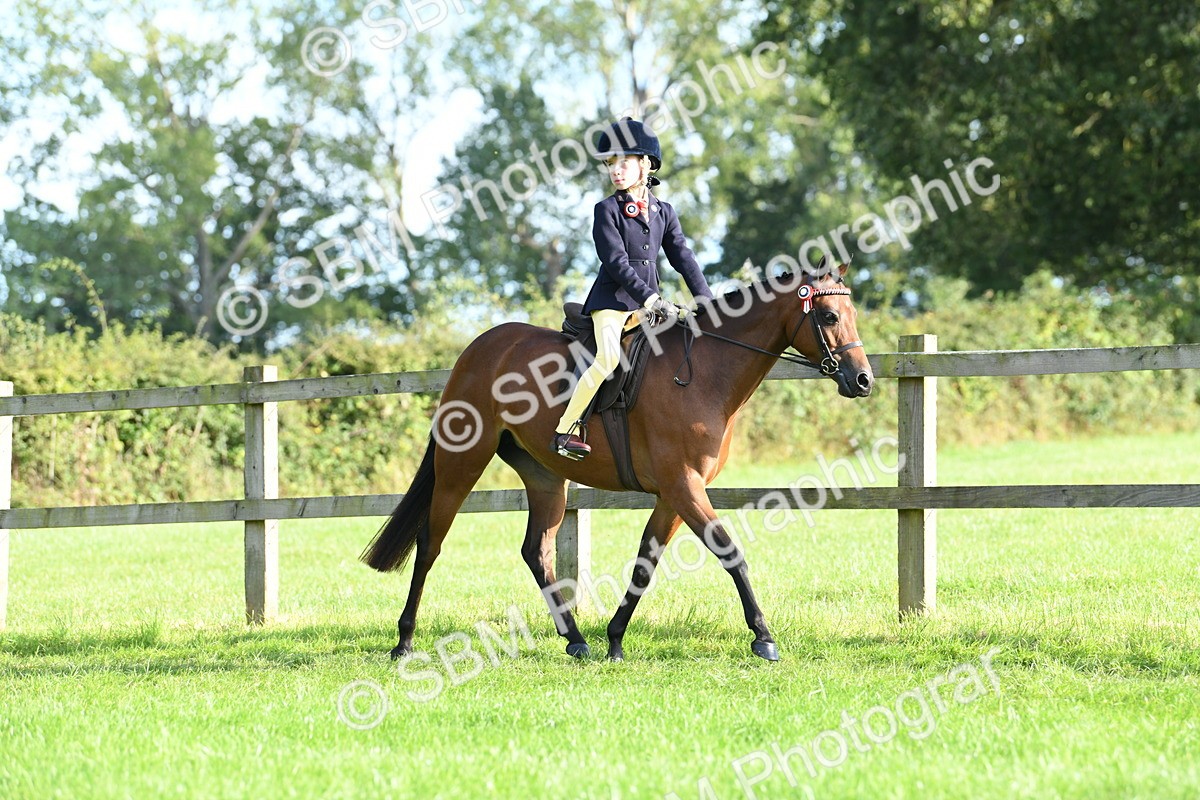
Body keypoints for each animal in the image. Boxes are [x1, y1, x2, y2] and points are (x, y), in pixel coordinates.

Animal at [361, 260, 874, 662]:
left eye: (852, 314)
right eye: (829, 315)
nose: (863, 380)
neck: (704, 373)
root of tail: (479, 347)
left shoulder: (674, 492)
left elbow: (646, 563)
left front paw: (614, 638)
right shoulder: (684, 485)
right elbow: (730, 552)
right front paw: (763, 637)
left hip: (544, 476)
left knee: (536, 550)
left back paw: (575, 639)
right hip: (461, 462)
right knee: (430, 544)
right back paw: (404, 641)